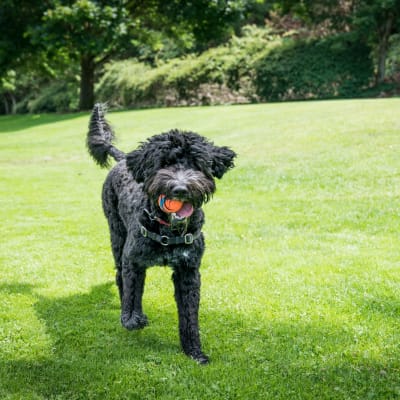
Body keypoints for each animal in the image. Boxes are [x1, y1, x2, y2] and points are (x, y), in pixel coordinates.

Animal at [85, 103, 234, 362]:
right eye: (164, 163)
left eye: (196, 164)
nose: (180, 188)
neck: (167, 229)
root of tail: (123, 159)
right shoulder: (133, 261)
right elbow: (132, 292)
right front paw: (132, 319)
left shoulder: (188, 272)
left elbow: (189, 316)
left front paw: (194, 351)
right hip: (117, 235)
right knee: (121, 277)